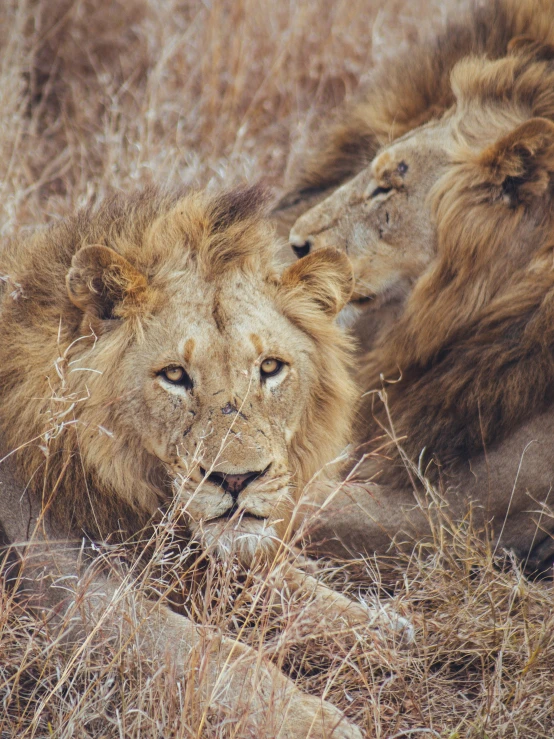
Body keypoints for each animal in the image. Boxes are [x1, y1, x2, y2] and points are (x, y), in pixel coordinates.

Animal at [0, 188, 410, 739]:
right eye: (175, 375)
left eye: (270, 367)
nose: (237, 479)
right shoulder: (65, 596)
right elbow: (219, 655)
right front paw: (314, 721)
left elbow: (297, 592)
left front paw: (382, 626)